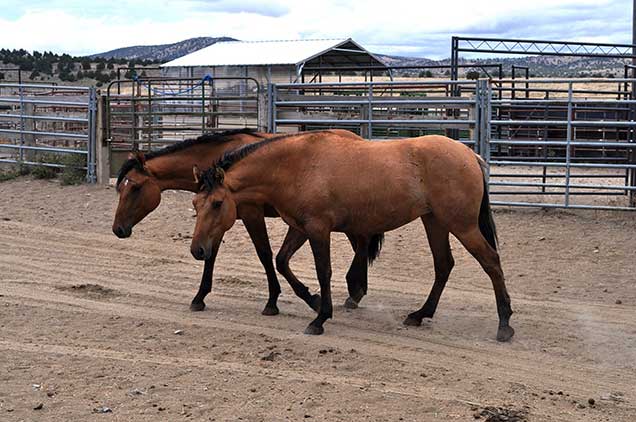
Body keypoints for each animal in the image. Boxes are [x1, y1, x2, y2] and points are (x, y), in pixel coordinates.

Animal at [112, 129, 380, 316]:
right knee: (361, 244)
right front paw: (199, 298)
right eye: (121, 187)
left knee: (362, 242)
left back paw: (355, 290)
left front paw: (273, 302)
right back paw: (356, 290)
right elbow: (210, 255)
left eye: (135, 187)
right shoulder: (219, 219)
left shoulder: (251, 214)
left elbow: (265, 254)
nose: (118, 229)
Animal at [190, 132, 516, 342]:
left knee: (491, 262)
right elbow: (282, 261)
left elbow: (324, 271)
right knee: (444, 265)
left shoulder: (318, 229)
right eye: (195, 204)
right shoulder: (300, 227)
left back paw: (504, 324)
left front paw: (320, 318)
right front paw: (313, 300)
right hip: (434, 221)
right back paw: (420, 314)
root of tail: (470, 155)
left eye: (217, 203)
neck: (295, 166)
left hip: (461, 225)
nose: (198, 250)